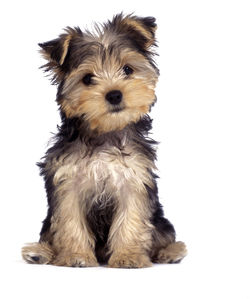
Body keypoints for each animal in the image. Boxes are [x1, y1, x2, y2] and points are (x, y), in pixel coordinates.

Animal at [22, 12, 187, 268]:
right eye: (88, 79)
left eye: (127, 69)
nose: (114, 94)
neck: (105, 133)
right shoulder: (67, 181)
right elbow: (69, 221)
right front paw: (76, 256)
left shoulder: (134, 179)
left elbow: (132, 219)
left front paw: (128, 256)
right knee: (50, 232)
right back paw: (40, 252)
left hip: (159, 217)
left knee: (163, 232)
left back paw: (170, 252)